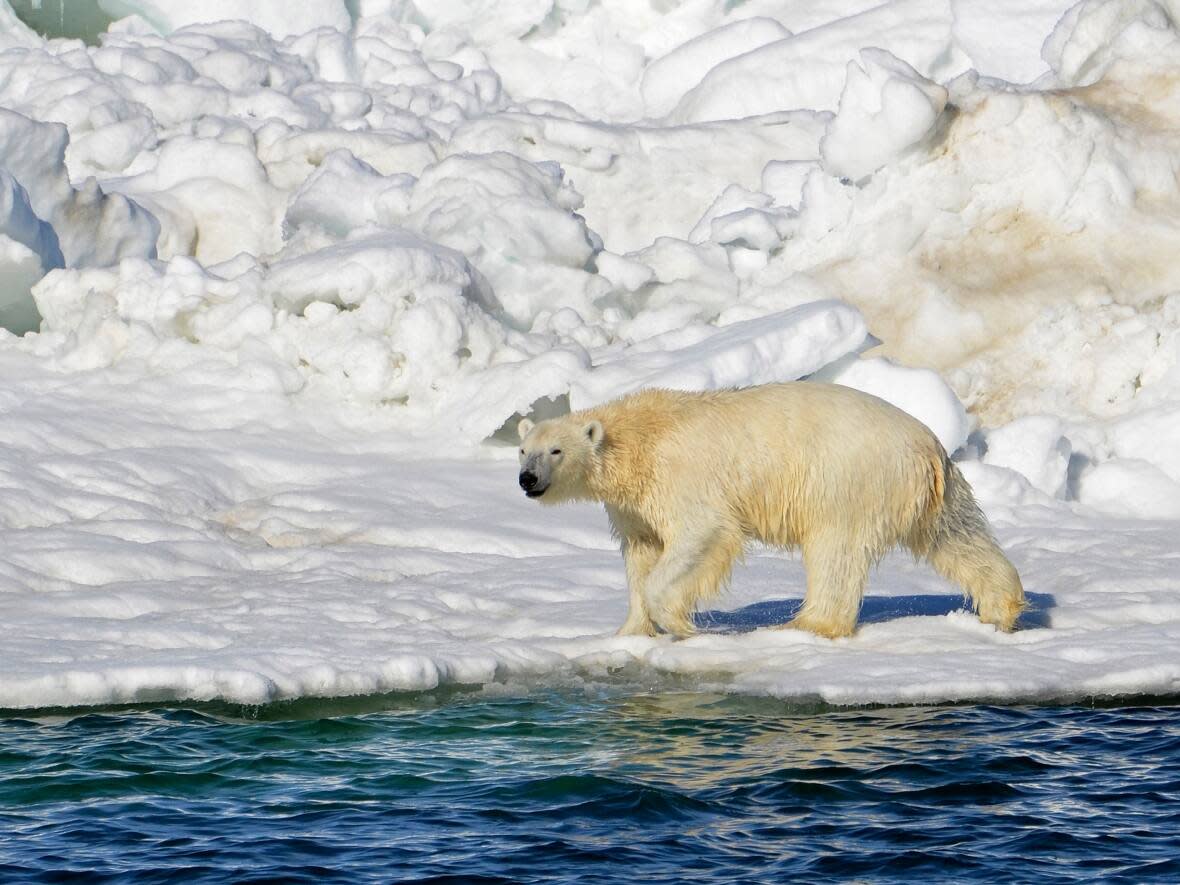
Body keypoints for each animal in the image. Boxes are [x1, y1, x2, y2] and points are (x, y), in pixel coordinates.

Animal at [516, 384, 1024, 641]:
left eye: (556, 450)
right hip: (932, 492)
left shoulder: (682, 478)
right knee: (957, 537)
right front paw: (629, 631)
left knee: (835, 551)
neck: (639, 438)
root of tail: (928, 446)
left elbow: (702, 534)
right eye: (524, 450)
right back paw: (1001, 608)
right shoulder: (633, 504)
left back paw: (806, 624)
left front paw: (681, 624)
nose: (527, 479)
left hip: (847, 480)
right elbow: (641, 553)